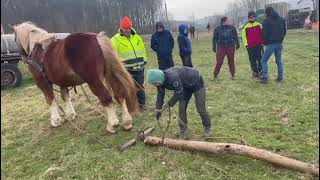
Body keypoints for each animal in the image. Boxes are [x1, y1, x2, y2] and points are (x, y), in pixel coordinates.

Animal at [9, 21, 138, 133]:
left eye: (14, 39)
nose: (22, 57)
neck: (37, 48)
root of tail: (97, 39)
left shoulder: (42, 82)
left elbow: (50, 100)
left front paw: (55, 120)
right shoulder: (63, 81)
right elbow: (65, 96)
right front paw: (70, 115)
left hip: (94, 80)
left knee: (105, 97)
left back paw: (112, 124)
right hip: (109, 74)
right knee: (119, 95)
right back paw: (127, 122)